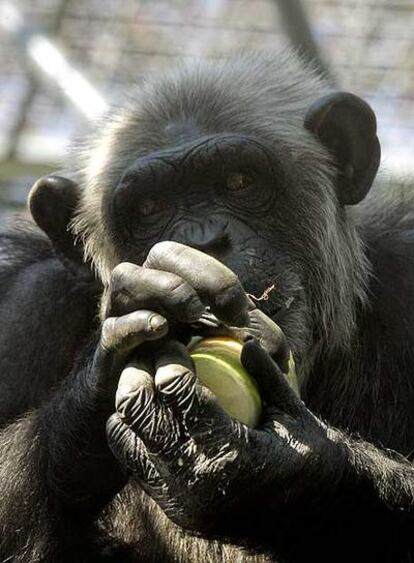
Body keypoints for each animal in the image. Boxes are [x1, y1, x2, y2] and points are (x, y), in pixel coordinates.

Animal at [0, 50, 414, 560]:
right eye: (148, 207)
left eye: (238, 180)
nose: (202, 240)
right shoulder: (26, 310)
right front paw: (100, 373)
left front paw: (272, 472)